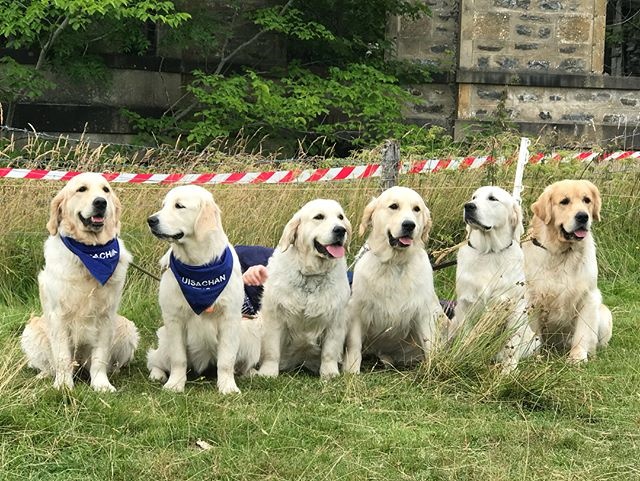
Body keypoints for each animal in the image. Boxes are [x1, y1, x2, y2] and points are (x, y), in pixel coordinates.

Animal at [21, 172, 138, 390]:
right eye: (81, 189)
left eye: (105, 190)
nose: (100, 202)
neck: (89, 252)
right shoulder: (58, 316)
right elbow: (62, 357)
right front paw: (63, 386)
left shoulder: (106, 316)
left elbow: (100, 356)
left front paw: (101, 385)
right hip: (31, 329)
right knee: (48, 365)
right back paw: (44, 376)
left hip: (127, 327)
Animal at [256, 197, 356, 376]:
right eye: (319, 217)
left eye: (340, 217)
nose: (340, 230)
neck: (311, 276)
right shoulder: (274, 316)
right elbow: (271, 350)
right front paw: (268, 372)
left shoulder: (336, 319)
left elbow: (330, 351)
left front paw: (329, 373)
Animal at [342, 185, 448, 372]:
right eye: (394, 206)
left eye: (416, 209)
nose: (409, 225)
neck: (394, 263)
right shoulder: (356, 311)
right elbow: (354, 345)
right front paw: (351, 371)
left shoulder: (424, 312)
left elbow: (430, 343)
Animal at [524, 179, 612, 360]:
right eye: (564, 201)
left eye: (587, 200)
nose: (583, 216)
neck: (563, 253)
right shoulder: (532, 298)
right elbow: (534, 333)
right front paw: (535, 356)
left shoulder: (588, 297)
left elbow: (582, 333)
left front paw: (577, 357)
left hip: (604, 314)